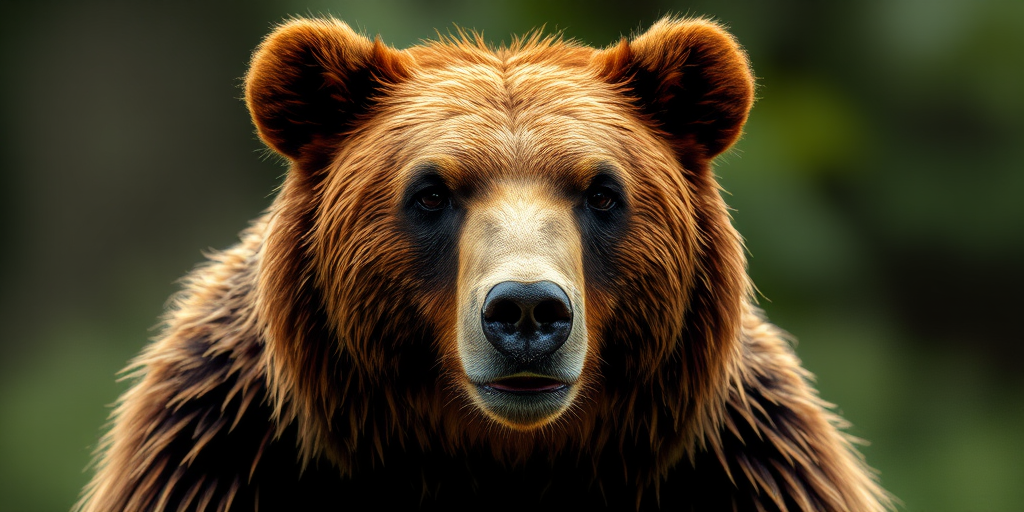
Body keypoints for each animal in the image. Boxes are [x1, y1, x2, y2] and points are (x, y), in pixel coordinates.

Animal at [74, 16, 893, 512]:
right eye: (431, 192)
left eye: (603, 191)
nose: (527, 310)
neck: (489, 455)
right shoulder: (224, 452)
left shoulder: (743, 465)